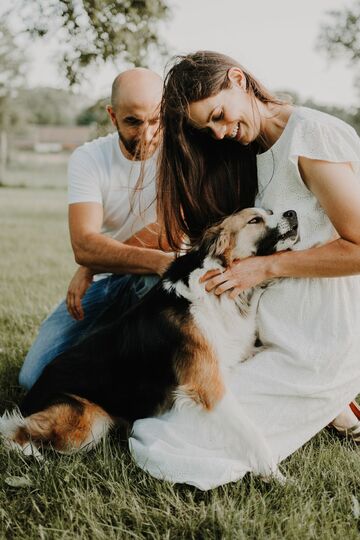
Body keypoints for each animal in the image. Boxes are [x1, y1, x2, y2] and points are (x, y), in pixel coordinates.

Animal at [0, 207, 298, 480]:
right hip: (85, 423)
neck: (218, 286)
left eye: (271, 211)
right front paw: (274, 474)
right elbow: (250, 431)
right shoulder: (208, 385)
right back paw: (32, 455)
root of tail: (30, 397)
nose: (293, 213)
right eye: (255, 220)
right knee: (13, 426)